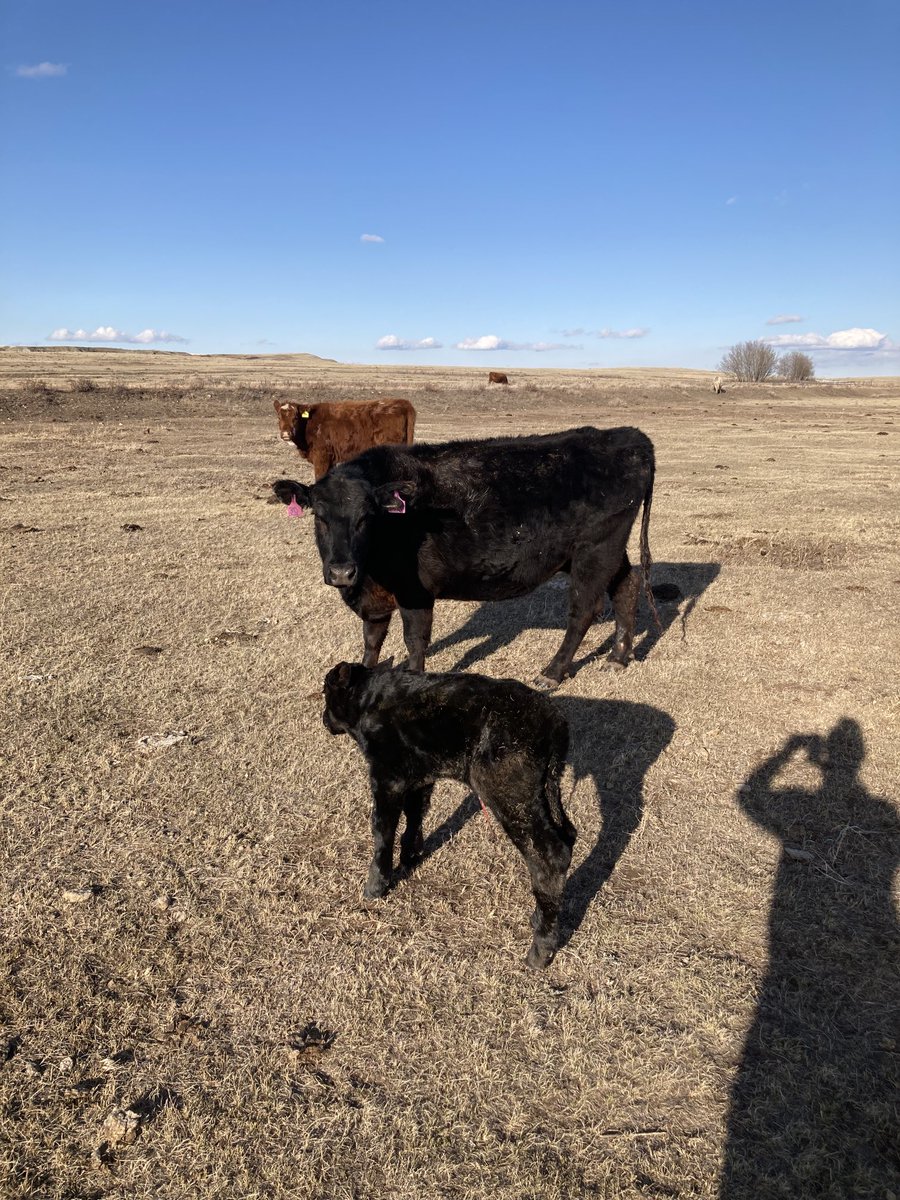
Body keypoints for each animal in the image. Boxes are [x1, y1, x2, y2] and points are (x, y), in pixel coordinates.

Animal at [272, 425, 655, 690]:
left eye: (366, 517)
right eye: (319, 516)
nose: (341, 571)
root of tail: (629, 438)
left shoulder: (414, 592)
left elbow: (414, 641)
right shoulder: (375, 598)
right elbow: (372, 639)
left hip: (595, 551)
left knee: (583, 610)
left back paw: (552, 672)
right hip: (606, 552)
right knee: (627, 586)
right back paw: (618, 657)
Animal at [322, 661, 577, 967]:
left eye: (326, 693)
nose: (323, 719)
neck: (369, 701)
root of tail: (555, 723)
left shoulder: (386, 776)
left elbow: (382, 831)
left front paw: (375, 886)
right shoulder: (419, 777)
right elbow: (415, 814)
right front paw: (410, 856)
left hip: (510, 793)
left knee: (550, 856)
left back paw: (541, 949)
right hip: (547, 791)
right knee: (568, 835)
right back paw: (539, 917)